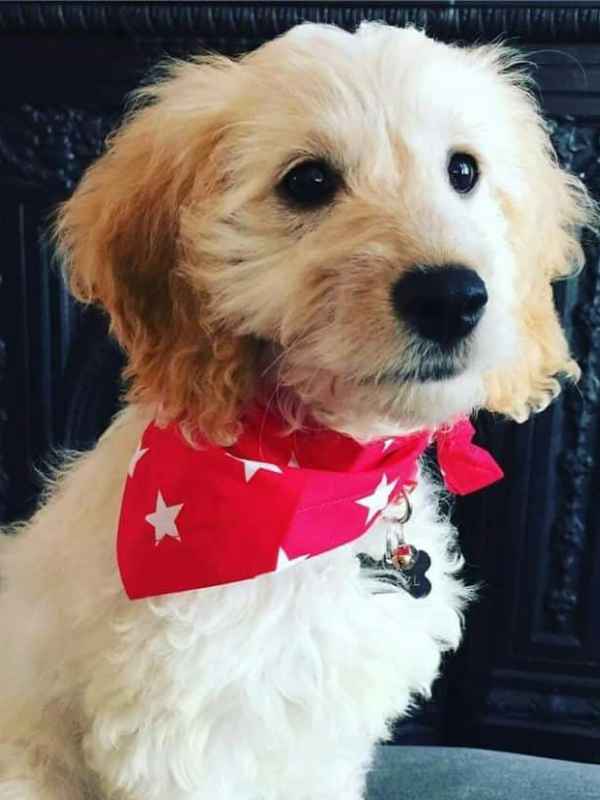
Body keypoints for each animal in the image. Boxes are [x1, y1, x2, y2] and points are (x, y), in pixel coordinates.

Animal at [0, 18, 596, 800]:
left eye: (464, 170)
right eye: (308, 182)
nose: (452, 297)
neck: (315, 476)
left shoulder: (327, 742)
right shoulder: (184, 735)